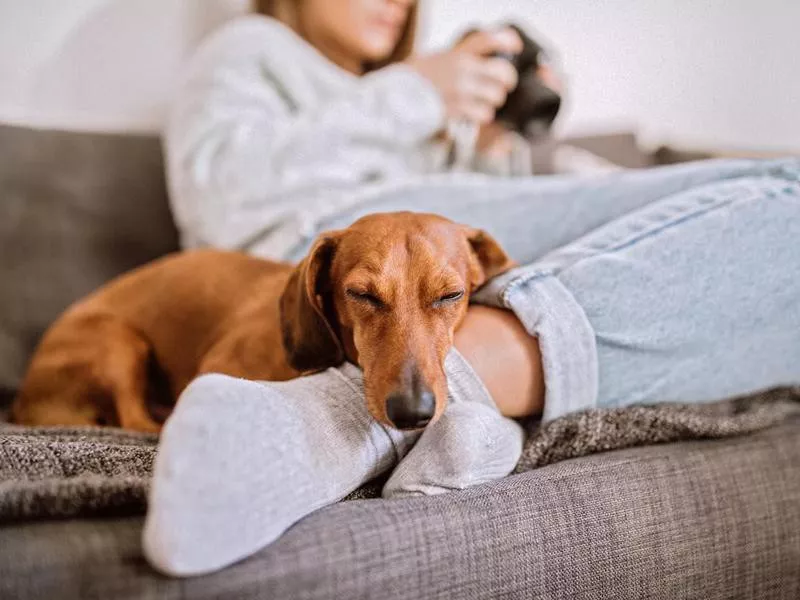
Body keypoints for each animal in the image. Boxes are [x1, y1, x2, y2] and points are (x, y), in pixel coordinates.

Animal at [10, 213, 512, 434]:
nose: (413, 413)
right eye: (361, 295)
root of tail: (22, 402)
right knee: (135, 421)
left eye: (451, 295)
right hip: (118, 342)